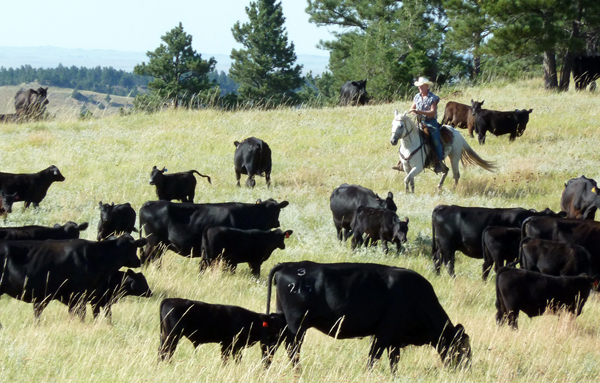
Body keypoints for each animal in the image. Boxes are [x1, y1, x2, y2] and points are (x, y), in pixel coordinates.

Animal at [141, 198, 290, 264]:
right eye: (277, 210)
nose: (278, 223)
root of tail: (150, 202)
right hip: (154, 242)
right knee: (147, 258)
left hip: (160, 245)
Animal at [264, 262, 472, 374]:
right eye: (463, 349)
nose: (465, 370)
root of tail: (291, 265)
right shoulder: (384, 334)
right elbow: (374, 357)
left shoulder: (394, 340)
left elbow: (393, 361)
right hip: (297, 326)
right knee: (292, 349)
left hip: (284, 322)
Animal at [432, 206, 568, 278]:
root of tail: (443, 207)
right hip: (448, 246)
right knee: (448, 263)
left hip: (440, 246)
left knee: (437, 259)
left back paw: (437, 276)